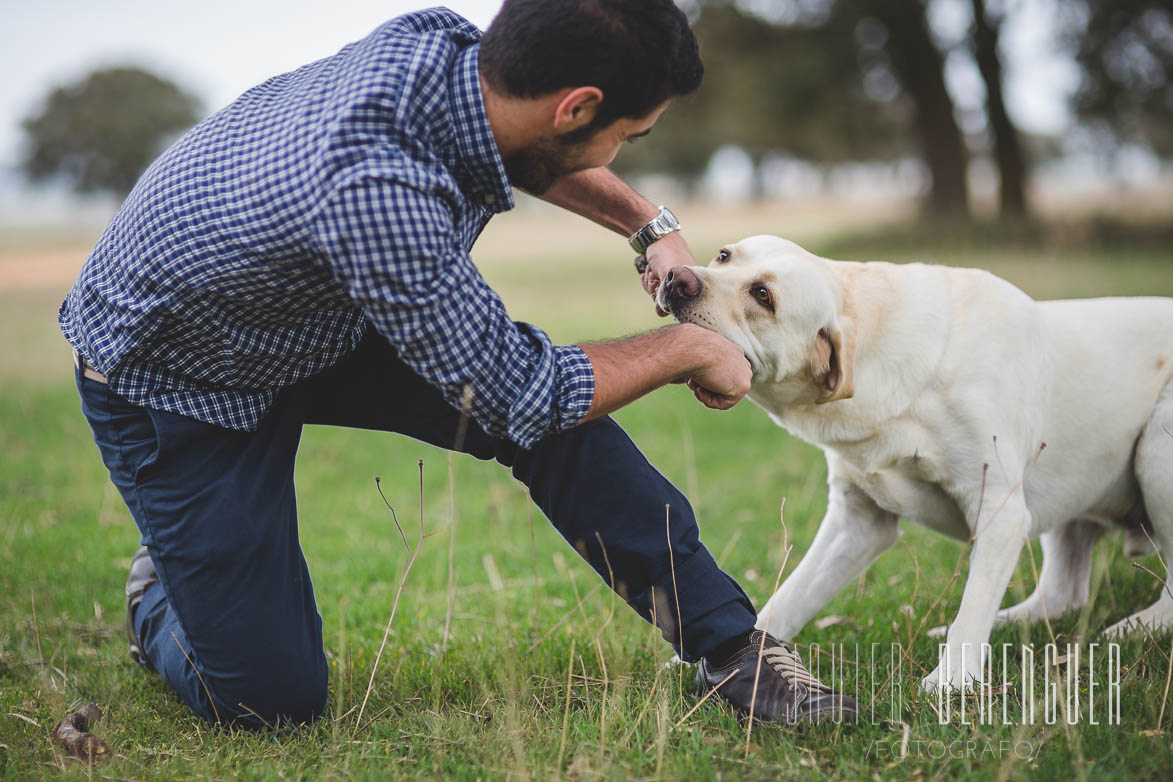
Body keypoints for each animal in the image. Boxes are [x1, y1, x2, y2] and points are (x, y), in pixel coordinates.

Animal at [656, 236, 1173, 689]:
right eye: (724, 256)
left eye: (763, 296)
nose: (677, 278)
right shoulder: (857, 523)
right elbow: (790, 596)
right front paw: (736, 657)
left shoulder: (1000, 511)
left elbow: (974, 605)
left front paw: (950, 682)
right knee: (1062, 593)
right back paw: (1008, 625)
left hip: (1156, 453)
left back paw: (1137, 628)